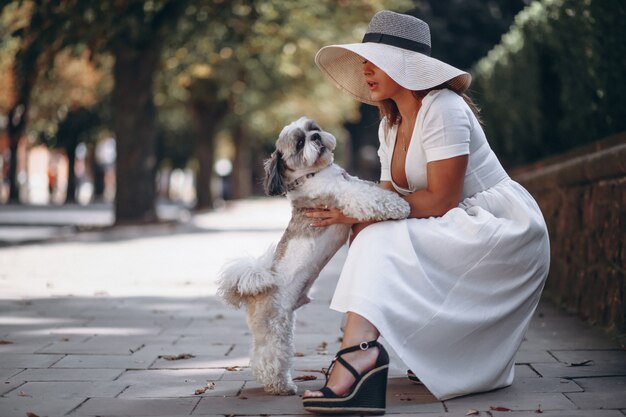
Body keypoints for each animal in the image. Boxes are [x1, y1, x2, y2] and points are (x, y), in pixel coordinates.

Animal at [217, 116, 408, 394]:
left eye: (313, 128)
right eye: (299, 143)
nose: (315, 137)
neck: (315, 173)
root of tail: (256, 289)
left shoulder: (351, 182)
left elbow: (367, 185)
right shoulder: (345, 196)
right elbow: (370, 196)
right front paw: (399, 205)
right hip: (275, 329)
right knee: (267, 358)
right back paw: (280, 386)